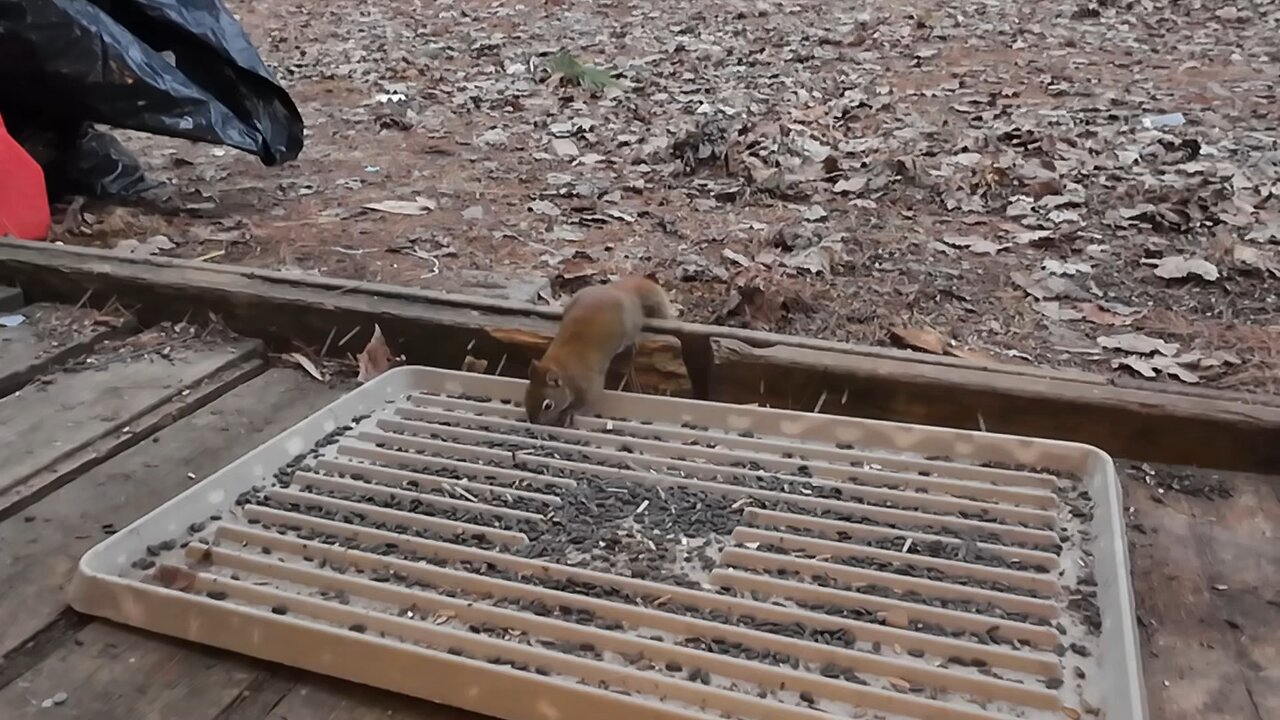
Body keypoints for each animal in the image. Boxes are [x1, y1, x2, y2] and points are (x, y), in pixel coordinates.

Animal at [524, 271, 675, 422]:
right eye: (527, 393)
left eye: (548, 405)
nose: (533, 421)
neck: (560, 365)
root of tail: (620, 290)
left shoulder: (589, 384)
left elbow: (588, 400)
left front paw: (569, 413)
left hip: (630, 328)